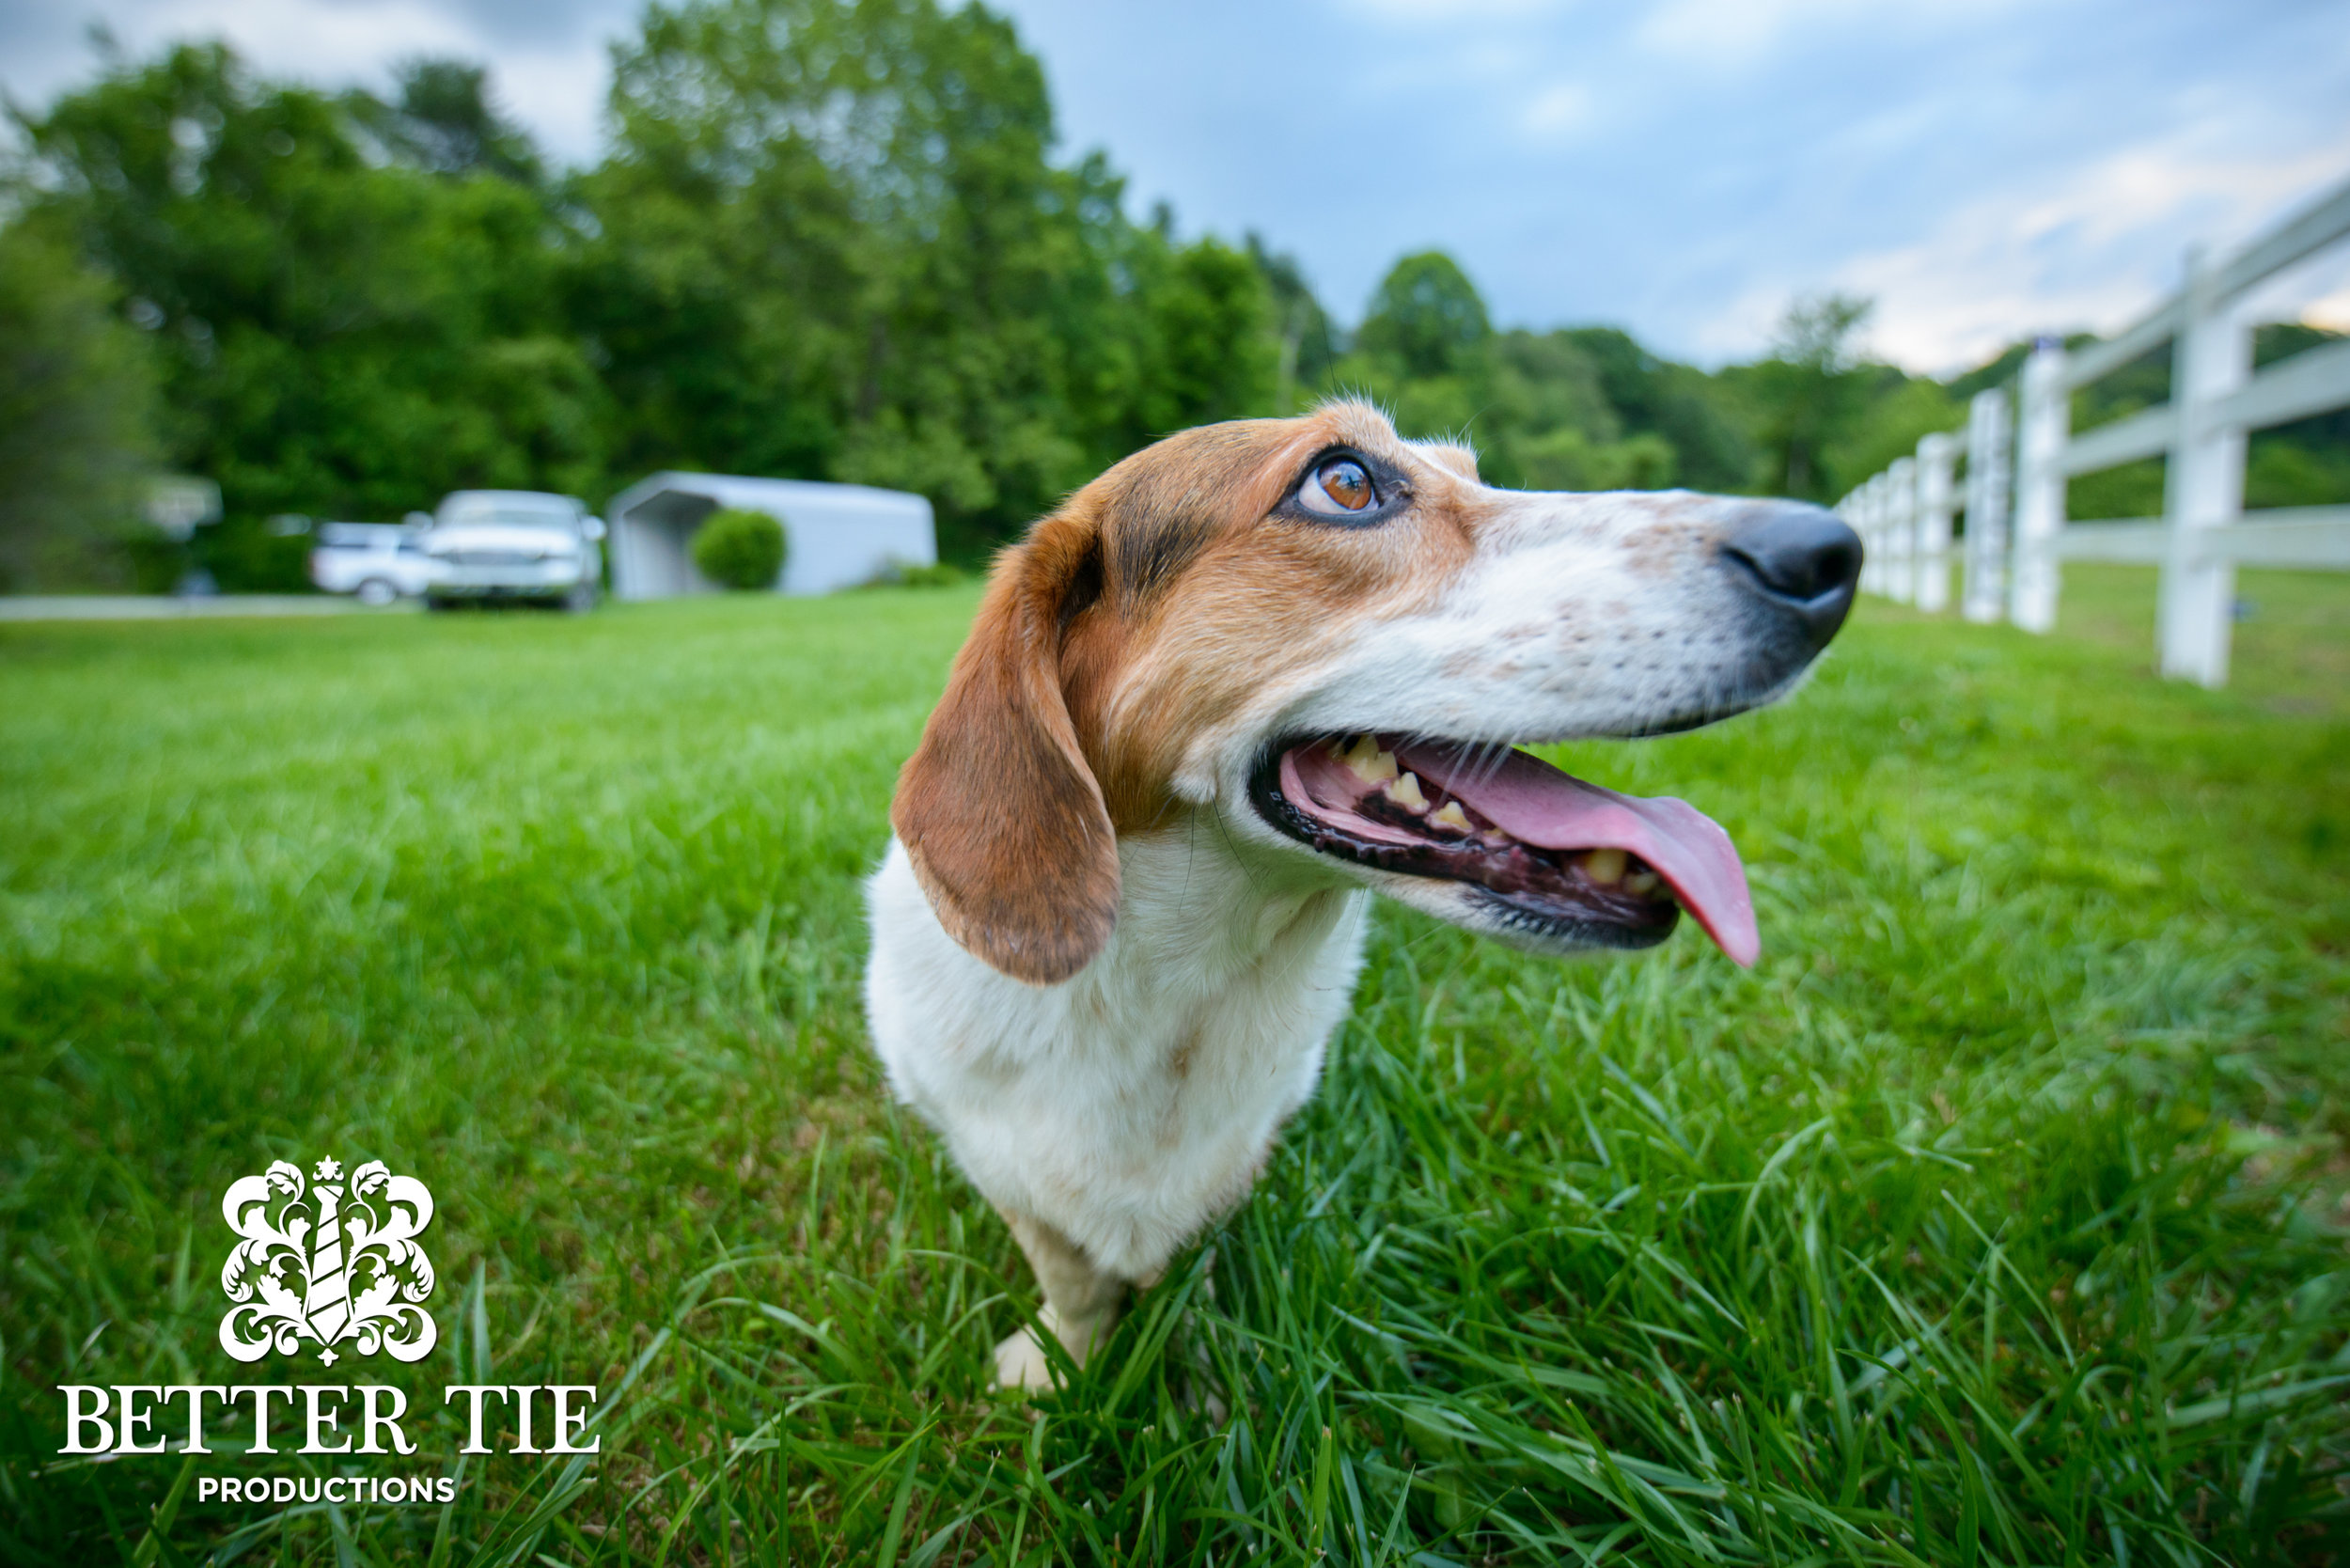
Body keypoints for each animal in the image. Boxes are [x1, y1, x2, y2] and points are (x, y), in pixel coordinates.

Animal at [860, 400, 1852, 1391]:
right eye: (1344, 483)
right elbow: (1070, 1279)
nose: (1832, 552)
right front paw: (1060, 1370)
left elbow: (1191, 1265)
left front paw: (1204, 1366)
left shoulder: (1232, 1163)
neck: (1161, 992)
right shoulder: (1003, 1170)